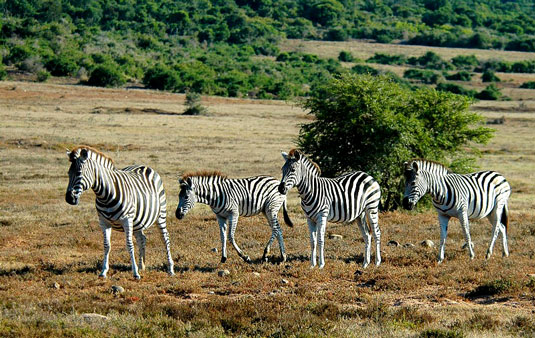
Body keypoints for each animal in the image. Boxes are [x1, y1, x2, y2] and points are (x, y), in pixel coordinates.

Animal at [64, 146, 175, 280]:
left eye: (79, 173)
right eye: (68, 173)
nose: (69, 198)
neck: (105, 195)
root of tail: (144, 166)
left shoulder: (127, 220)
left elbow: (129, 244)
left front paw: (135, 273)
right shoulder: (103, 222)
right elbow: (107, 245)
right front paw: (103, 271)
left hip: (160, 214)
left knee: (165, 238)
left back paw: (170, 269)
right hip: (137, 221)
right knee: (142, 238)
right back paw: (141, 265)